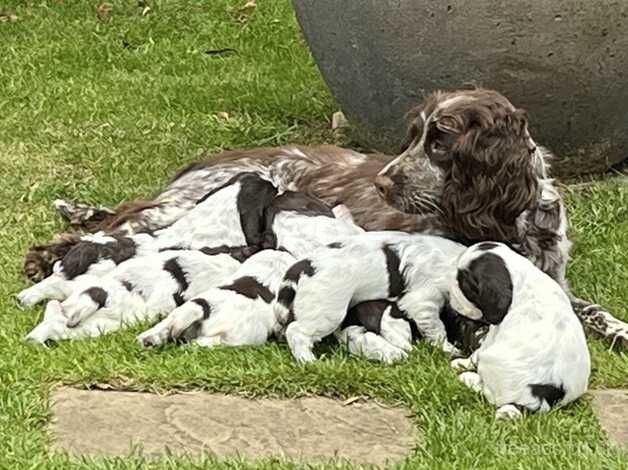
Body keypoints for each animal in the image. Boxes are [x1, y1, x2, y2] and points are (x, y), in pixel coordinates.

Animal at [274, 232, 466, 364]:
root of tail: (303, 265)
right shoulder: (423, 302)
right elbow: (436, 329)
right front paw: (449, 348)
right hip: (327, 311)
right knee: (296, 331)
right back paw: (308, 360)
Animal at [448, 242, 592, 418]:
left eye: (463, 283)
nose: (449, 290)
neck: (519, 277)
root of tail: (544, 398)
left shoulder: (495, 331)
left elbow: (479, 352)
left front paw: (462, 363)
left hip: (492, 363)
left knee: (490, 394)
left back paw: (468, 378)